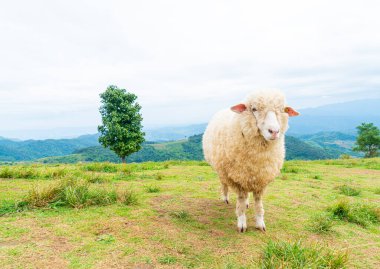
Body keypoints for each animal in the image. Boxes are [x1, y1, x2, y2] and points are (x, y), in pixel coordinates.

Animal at [202, 89, 300, 230]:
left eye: (282, 110)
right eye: (254, 109)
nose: (274, 131)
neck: (258, 156)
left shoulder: (261, 178)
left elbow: (258, 202)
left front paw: (260, 222)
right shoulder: (237, 178)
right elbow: (241, 200)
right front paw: (242, 222)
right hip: (222, 169)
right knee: (224, 183)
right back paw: (225, 198)